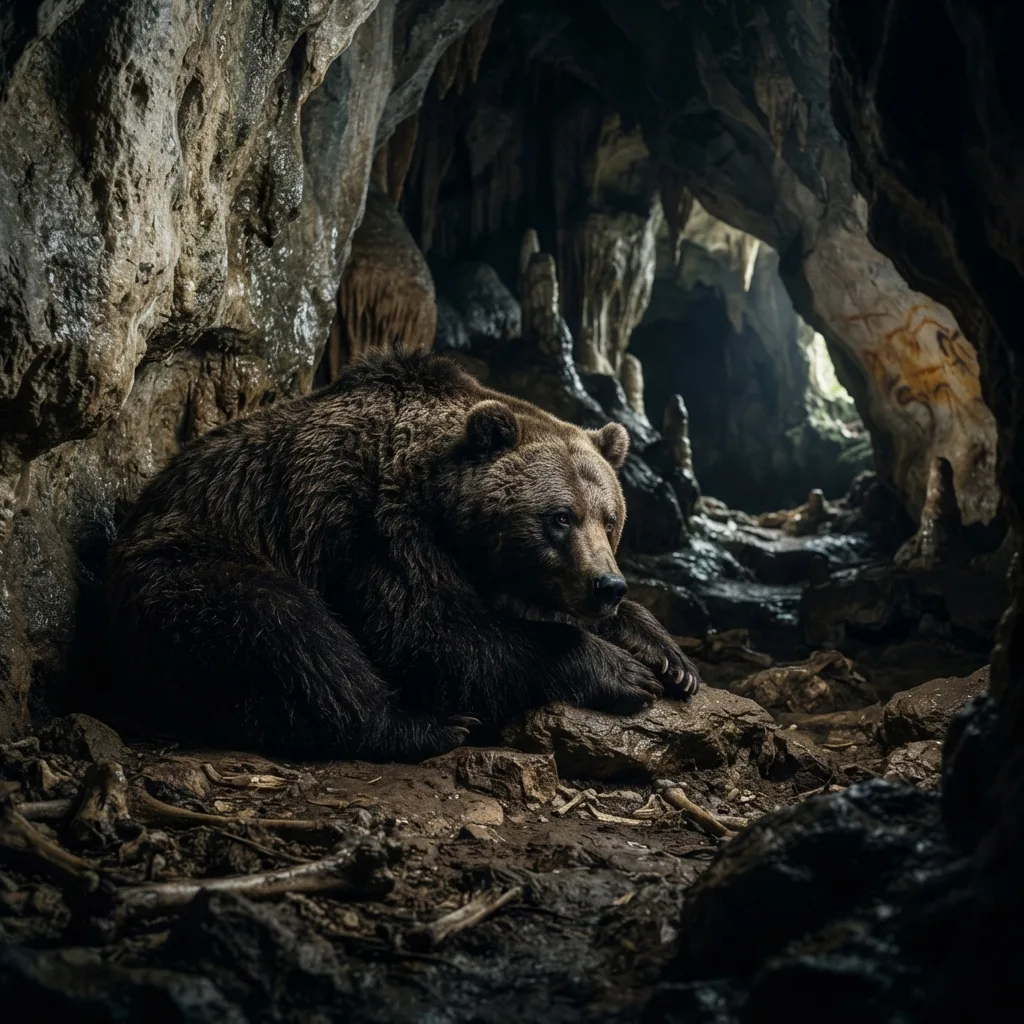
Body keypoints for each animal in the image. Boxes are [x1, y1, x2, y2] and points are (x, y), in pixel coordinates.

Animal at [106, 350, 700, 761]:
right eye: (560, 517)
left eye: (609, 518)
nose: (607, 585)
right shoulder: (373, 528)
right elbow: (433, 636)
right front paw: (624, 672)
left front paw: (667, 656)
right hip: (184, 565)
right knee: (286, 630)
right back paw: (424, 725)